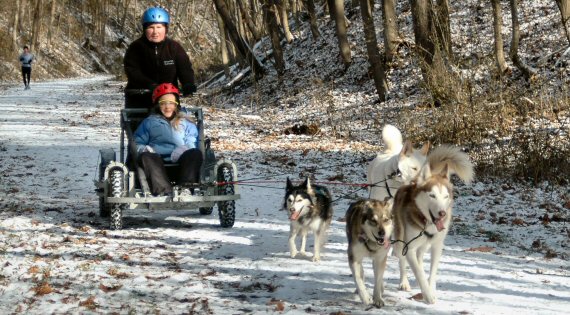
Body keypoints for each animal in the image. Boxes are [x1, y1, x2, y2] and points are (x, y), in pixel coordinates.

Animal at [390, 144, 474, 304]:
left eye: (446, 196)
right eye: (432, 195)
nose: (442, 213)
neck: (427, 223)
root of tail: (410, 183)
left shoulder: (437, 246)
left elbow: (432, 272)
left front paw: (431, 290)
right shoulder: (409, 248)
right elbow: (418, 272)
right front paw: (427, 295)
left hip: (423, 246)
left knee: (420, 257)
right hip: (399, 241)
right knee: (402, 260)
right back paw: (404, 282)